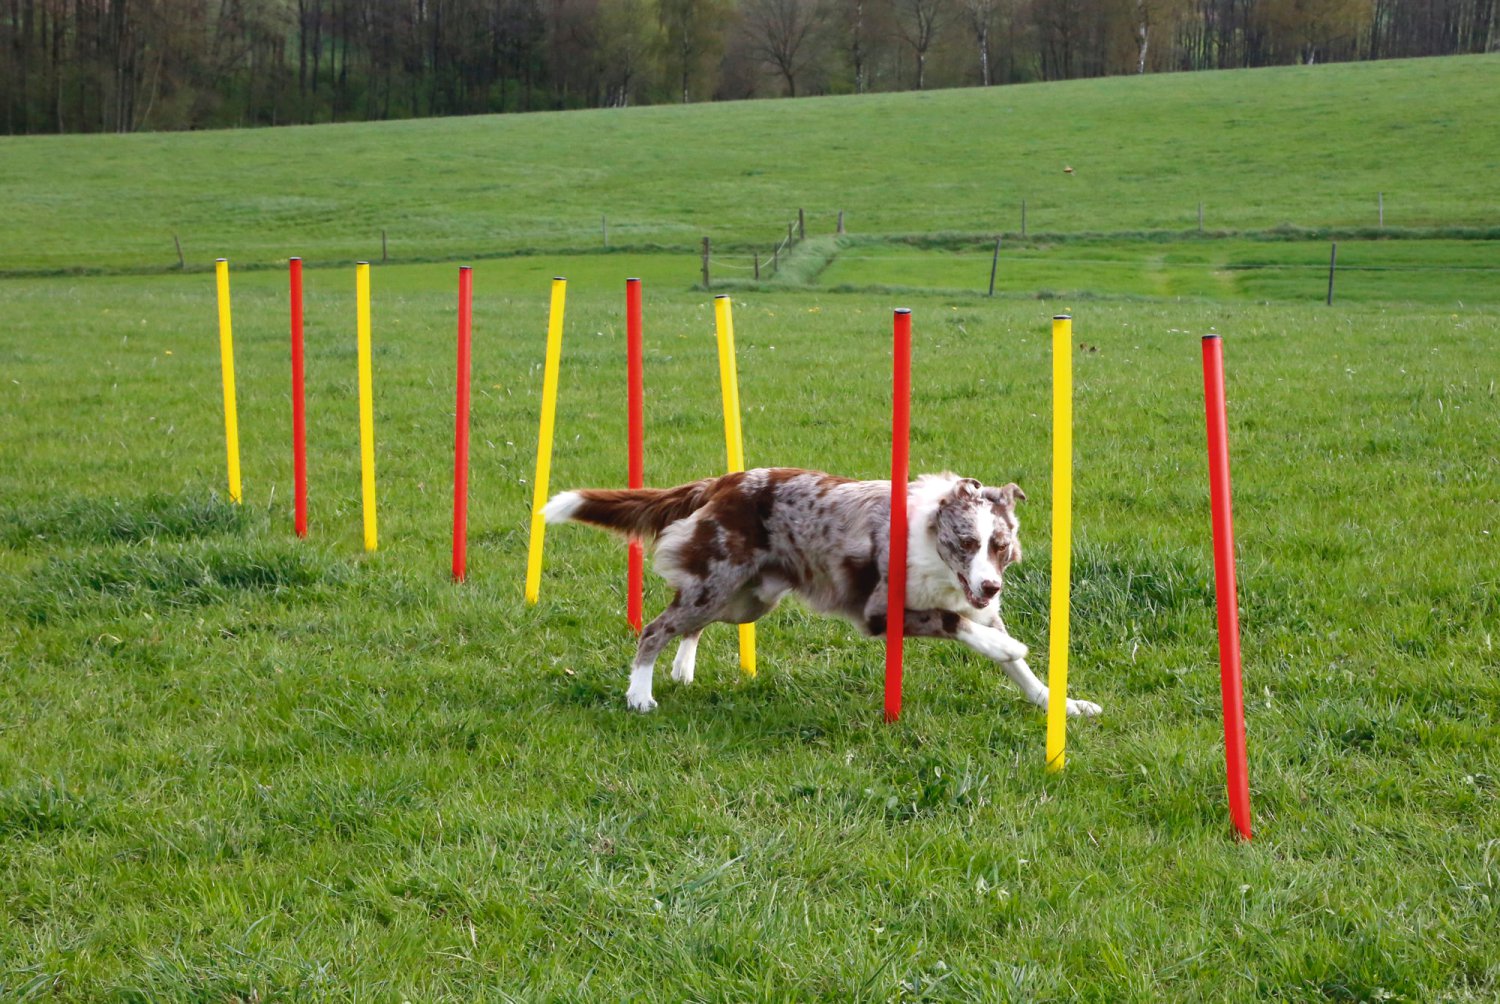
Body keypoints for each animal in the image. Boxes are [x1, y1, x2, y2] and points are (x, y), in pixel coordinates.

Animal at [549, 465, 1104, 717]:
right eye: (968, 542)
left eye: (1001, 546)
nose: (990, 585)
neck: (932, 544)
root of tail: (726, 481)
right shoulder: (882, 612)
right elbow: (963, 626)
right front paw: (1009, 646)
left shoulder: (978, 604)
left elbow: (1020, 670)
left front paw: (1061, 705)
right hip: (718, 583)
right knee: (654, 628)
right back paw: (639, 695)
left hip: (746, 601)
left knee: (689, 626)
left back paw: (682, 669)